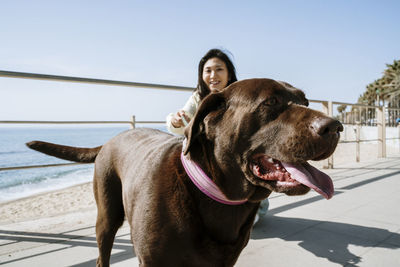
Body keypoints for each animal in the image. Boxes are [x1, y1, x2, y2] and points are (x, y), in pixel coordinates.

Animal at [26, 78, 342, 266]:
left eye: (305, 101)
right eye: (271, 102)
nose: (335, 126)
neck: (218, 200)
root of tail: (111, 139)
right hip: (106, 217)